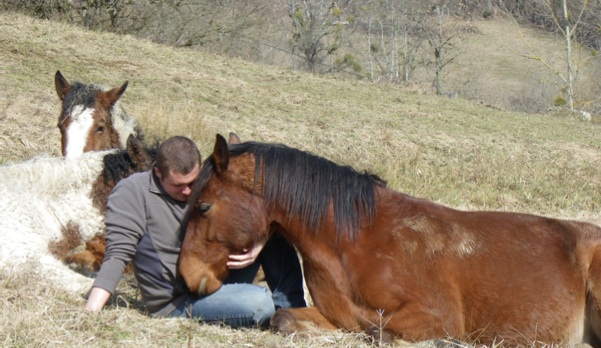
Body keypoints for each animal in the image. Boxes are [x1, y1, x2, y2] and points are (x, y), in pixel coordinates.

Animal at [180, 133, 600, 346]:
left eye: (202, 206)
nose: (185, 275)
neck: (357, 240)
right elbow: (285, 318)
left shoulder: (435, 313)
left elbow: (379, 329)